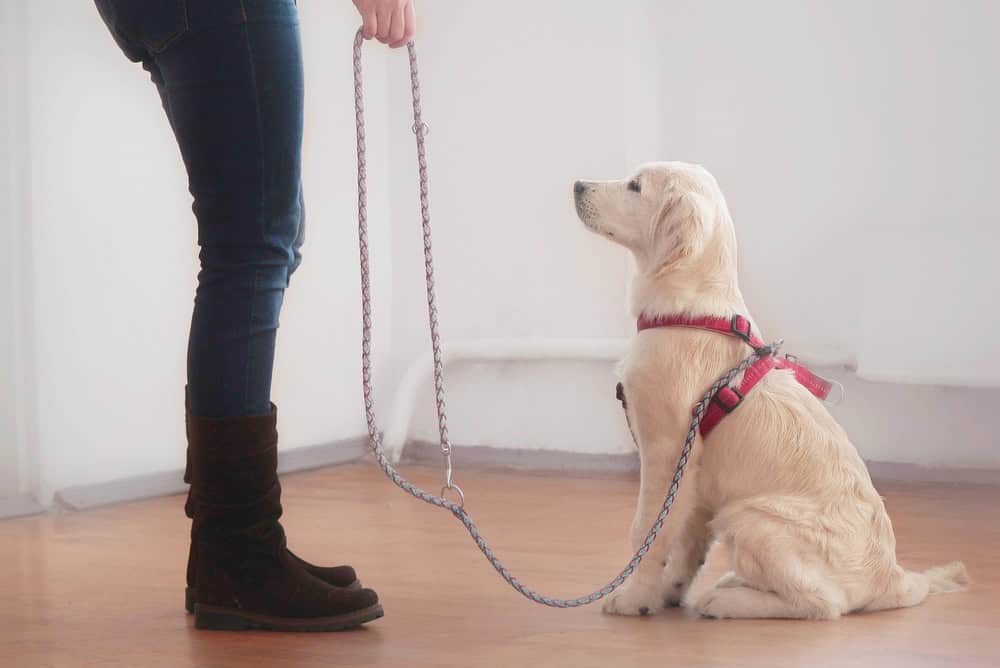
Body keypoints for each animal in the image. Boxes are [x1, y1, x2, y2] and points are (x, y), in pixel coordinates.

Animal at [576, 163, 964, 620]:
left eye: (636, 186)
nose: (577, 185)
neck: (691, 313)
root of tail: (892, 579)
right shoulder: (698, 477)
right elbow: (689, 541)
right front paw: (668, 591)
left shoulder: (666, 452)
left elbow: (648, 532)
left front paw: (634, 595)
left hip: (751, 516)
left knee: (823, 604)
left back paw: (726, 599)